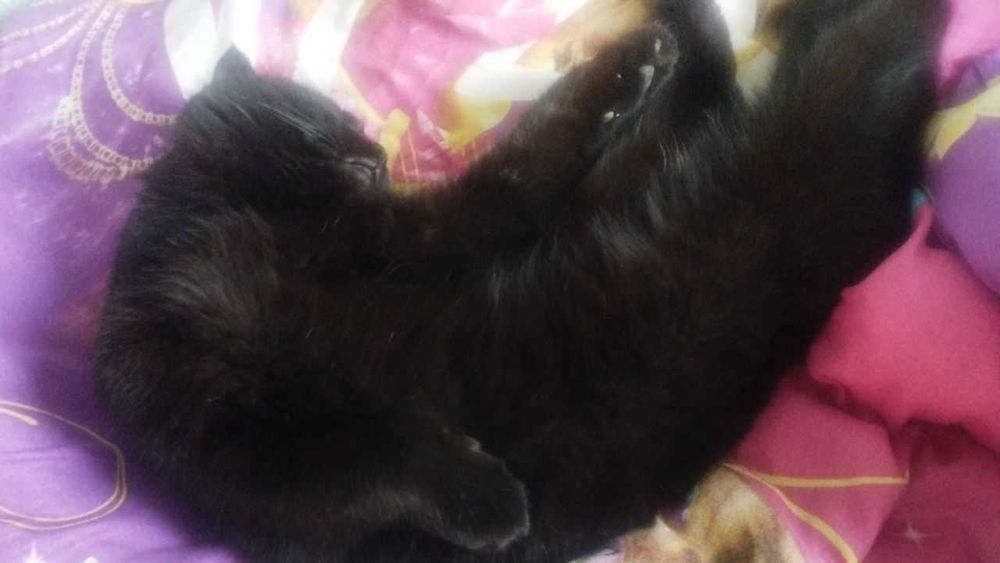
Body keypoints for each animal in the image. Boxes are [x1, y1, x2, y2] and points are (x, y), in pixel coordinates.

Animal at [94, 0, 945, 561]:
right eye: (337, 121)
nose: (376, 150)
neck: (210, 227)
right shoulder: (252, 445)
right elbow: (383, 448)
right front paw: (490, 499)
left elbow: (534, 150)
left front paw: (628, 63)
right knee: (764, 68)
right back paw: (682, 32)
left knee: (718, 81)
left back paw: (673, 28)